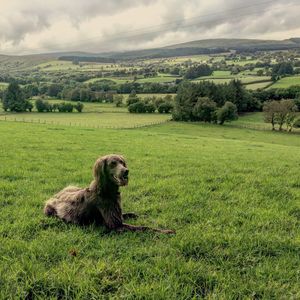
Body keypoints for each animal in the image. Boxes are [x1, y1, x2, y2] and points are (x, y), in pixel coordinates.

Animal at [44, 155, 176, 234]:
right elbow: (144, 227)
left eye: (122, 162)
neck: (106, 191)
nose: (126, 171)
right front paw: (166, 231)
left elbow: (132, 214)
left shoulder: (118, 214)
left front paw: (147, 217)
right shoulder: (115, 225)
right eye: (113, 163)